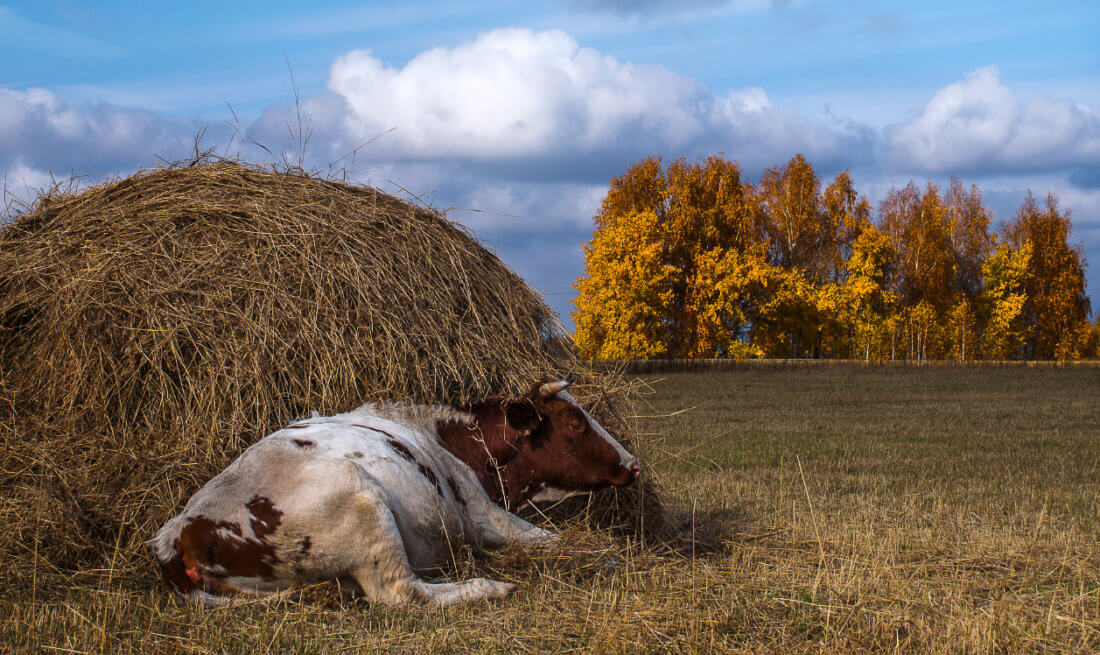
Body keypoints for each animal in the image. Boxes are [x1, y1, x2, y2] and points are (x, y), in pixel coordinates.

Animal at [150, 378, 640, 607]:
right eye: (575, 423)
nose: (633, 464)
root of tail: (179, 530)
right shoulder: (483, 514)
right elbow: (553, 540)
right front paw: (609, 556)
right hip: (364, 507)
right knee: (403, 593)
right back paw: (491, 587)